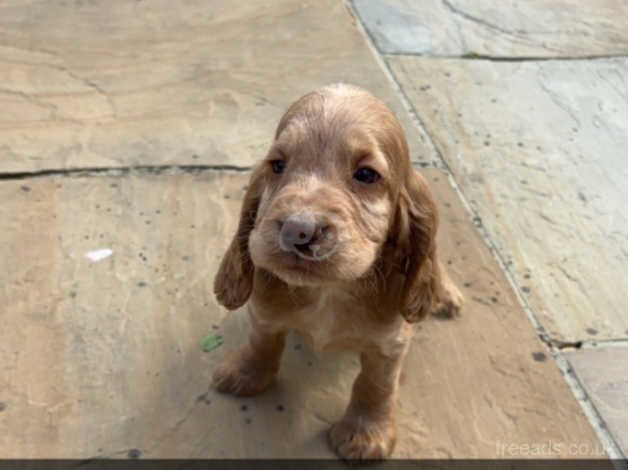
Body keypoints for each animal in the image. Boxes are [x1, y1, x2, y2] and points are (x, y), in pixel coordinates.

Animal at [211, 83, 462, 458]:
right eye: (278, 165)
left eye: (366, 175)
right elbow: (261, 340)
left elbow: (375, 384)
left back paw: (443, 294)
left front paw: (365, 433)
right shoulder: (264, 310)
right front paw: (246, 373)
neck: (329, 291)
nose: (298, 231)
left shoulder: (391, 343)